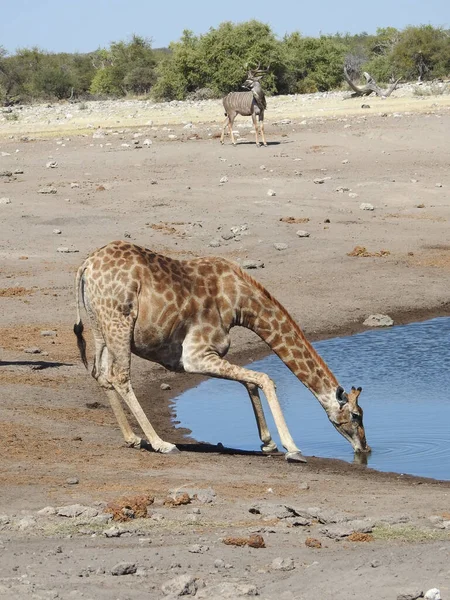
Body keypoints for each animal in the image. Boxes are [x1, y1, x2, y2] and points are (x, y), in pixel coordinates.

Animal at [73, 241, 370, 462]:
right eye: (356, 415)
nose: (365, 448)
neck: (240, 303)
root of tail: (85, 267)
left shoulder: (209, 355)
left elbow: (250, 382)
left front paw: (268, 443)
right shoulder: (195, 356)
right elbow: (264, 379)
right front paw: (292, 447)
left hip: (101, 327)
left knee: (102, 373)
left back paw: (132, 438)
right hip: (119, 322)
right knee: (120, 376)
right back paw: (161, 443)